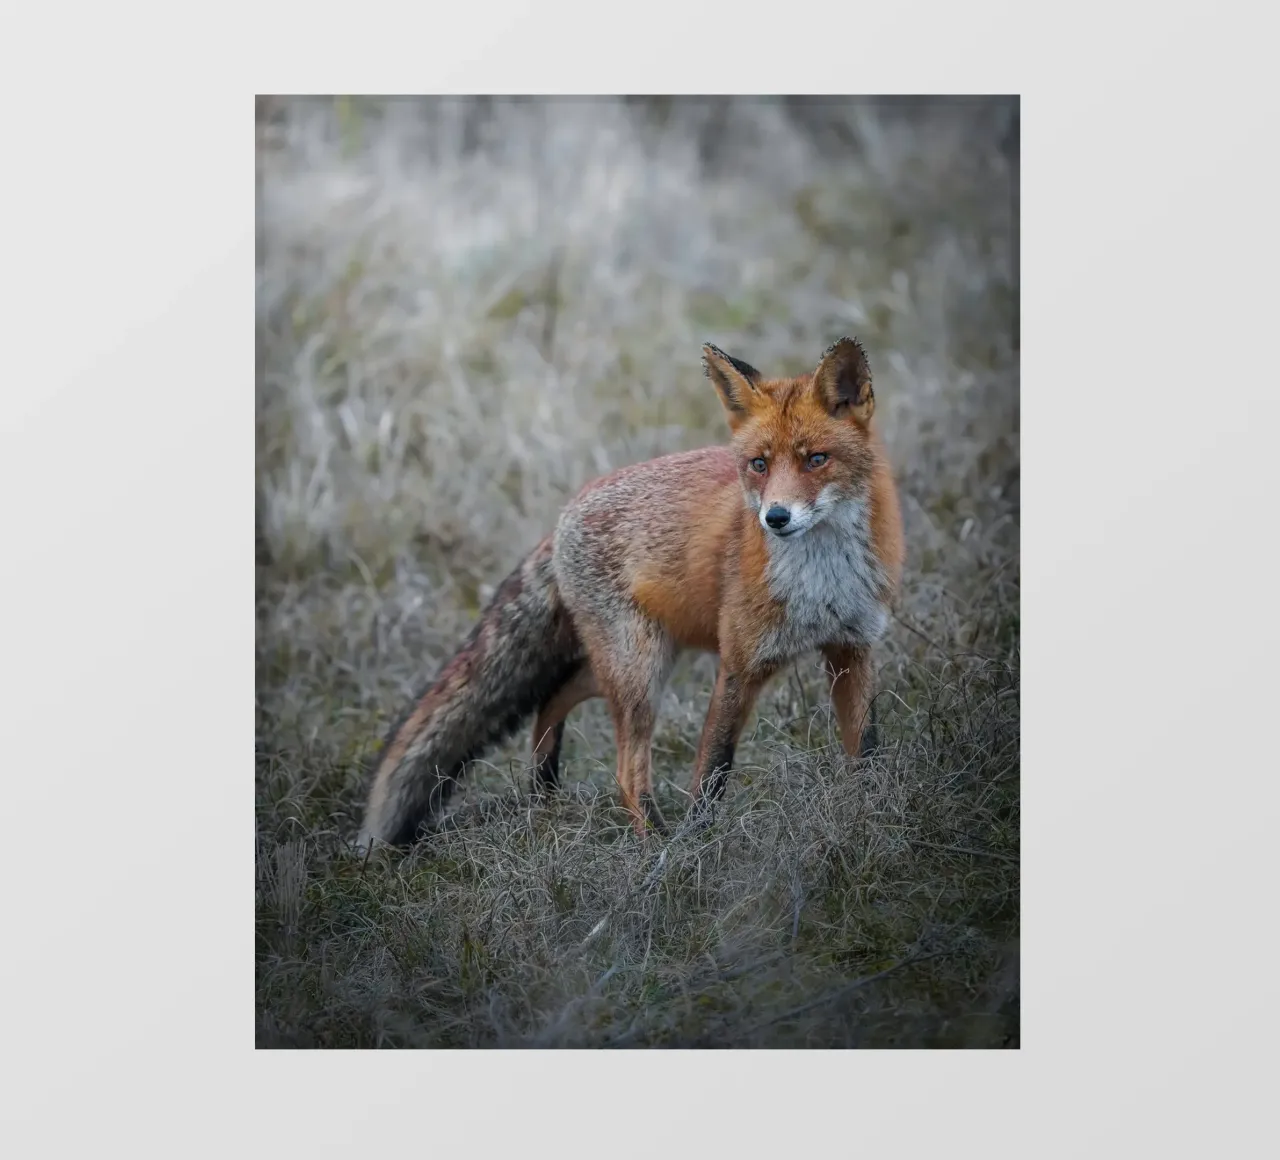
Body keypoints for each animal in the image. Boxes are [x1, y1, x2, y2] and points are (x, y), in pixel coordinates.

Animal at [357, 337, 904, 848]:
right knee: (625, 770)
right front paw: (693, 851)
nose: (776, 517)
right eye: (758, 464)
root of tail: (564, 514)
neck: (821, 581)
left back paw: (544, 786)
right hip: (640, 670)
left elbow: (867, 750)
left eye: (817, 460)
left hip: (638, 661)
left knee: (554, 694)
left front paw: (871, 817)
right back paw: (653, 846)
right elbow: (712, 773)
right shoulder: (740, 663)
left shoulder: (852, 647)